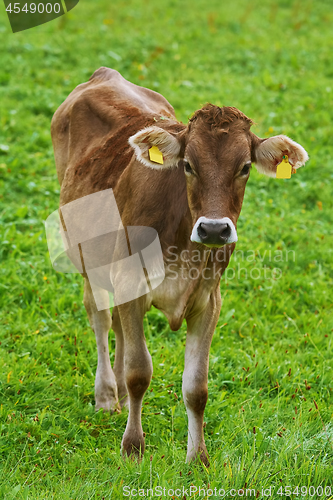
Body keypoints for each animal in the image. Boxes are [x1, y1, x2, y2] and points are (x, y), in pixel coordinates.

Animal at [51, 67, 308, 464]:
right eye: (188, 165)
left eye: (245, 167)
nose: (214, 228)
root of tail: (105, 73)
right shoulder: (129, 281)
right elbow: (139, 372)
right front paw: (133, 447)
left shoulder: (208, 300)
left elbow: (196, 387)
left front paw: (197, 457)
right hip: (86, 256)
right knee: (101, 318)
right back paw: (107, 395)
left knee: (119, 328)